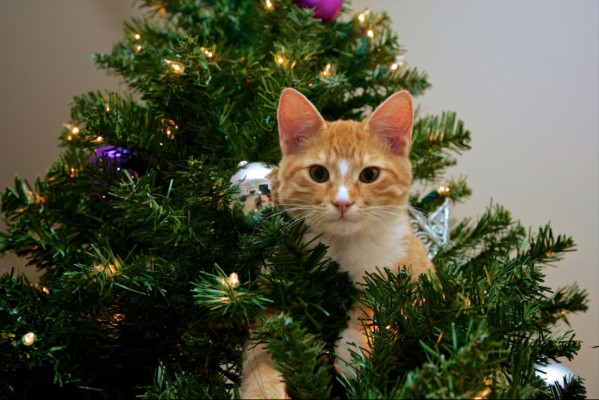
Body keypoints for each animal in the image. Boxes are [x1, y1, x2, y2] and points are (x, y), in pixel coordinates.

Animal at [240, 88, 436, 400]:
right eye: (318, 173)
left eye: (369, 174)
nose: (342, 202)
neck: (342, 248)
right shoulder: (272, 284)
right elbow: (260, 345)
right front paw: (261, 390)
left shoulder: (421, 276)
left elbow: (380, 295)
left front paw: (353, 349)